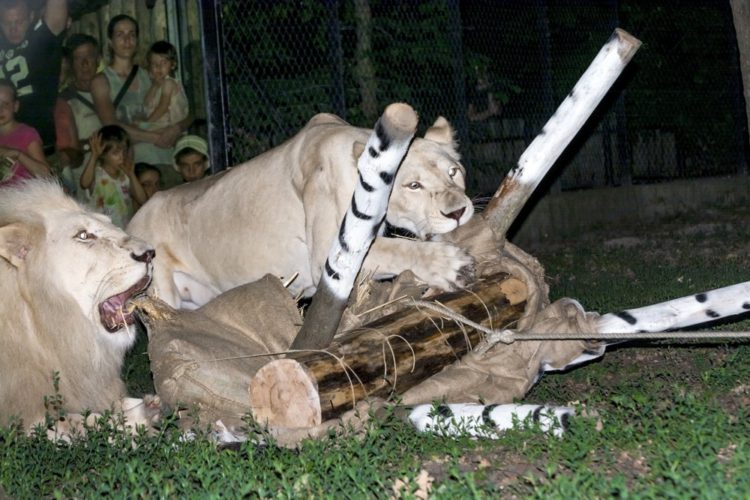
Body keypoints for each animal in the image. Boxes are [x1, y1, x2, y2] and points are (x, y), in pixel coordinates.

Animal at [126, 113, 472, 308]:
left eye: (454, 172)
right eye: (413, 185)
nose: (458, 213)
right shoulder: (327, 258)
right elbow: (399, 249)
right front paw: (451, 266)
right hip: (161, 295)